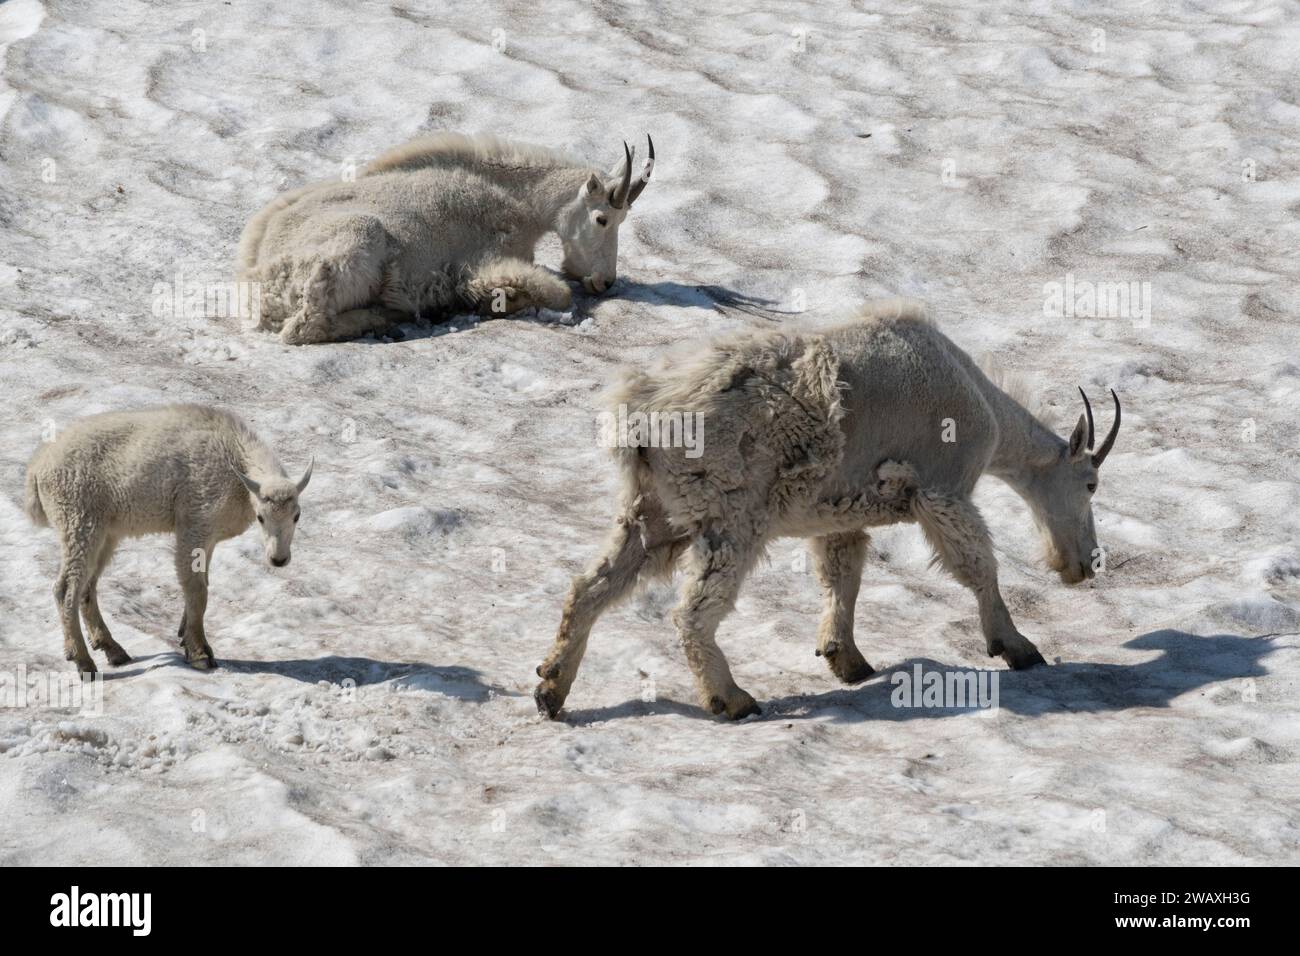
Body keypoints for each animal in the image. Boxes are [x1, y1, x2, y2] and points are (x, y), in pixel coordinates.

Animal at [24, 403, 312, 671]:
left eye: (297, 515)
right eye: (261, 517)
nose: (278, 559)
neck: (236, 466)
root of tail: (37, 468)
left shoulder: (208, 535)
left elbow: (201, 582)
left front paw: (185, 636)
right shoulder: (194, 522)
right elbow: (197, 589)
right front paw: (200, 653)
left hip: (104, 531)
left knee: (87, 586)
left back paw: (112, 649)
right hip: (78, 520)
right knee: (66, 588)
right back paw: (82, 661)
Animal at [237, 130, 655, 343]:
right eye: (602, 219)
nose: (605, 281)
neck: (520, 201)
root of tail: (258, 282)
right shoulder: (484, 260)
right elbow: (556, 292)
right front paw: (489, 299)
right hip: (356, 239)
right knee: (304, 327)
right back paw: (388, 313)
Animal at [533, 299, 1123, 717]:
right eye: (1091, 483)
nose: (1085, 564)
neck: (982, 403)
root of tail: (638, 415)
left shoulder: (840, 513)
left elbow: (842, 577)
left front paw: (847, 660)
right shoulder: (943, 491)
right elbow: (978, 566)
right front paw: (1017, 646)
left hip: (653, 512)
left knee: (592, 586)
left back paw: (551, 688)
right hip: (730, 517)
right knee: (692, 611)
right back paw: (732, 699)